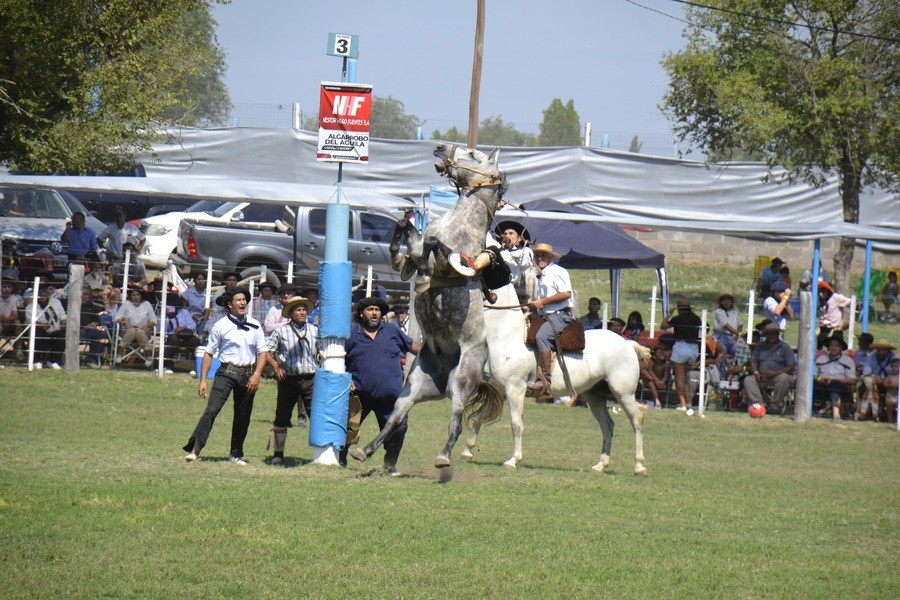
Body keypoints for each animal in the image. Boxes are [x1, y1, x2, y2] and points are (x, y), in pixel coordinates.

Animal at [350, 144, 506, 468]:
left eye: (473, 155)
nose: (440, 147)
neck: (460, 222)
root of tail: (445, 375)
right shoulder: (417, 242)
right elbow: (410, 232)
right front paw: (400, 253)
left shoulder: (449, 261)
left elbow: (435, 246)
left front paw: (422, 272)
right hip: (414, 387)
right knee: (395, 418)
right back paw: (365, 449)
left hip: (462, 382)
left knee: (455, 423)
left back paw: (444, 457)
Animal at [460, 284, 652, 476]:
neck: (507, 336)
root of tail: (628, 344)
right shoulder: (502, 390)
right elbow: (477, 418)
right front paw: (467, 452)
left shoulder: (515, 390)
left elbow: (516, 425)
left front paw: (513, 460)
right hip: (595, 397)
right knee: (607, 425)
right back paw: (600, 465)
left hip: (624, 393)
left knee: (637, 421)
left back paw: (639, 466)